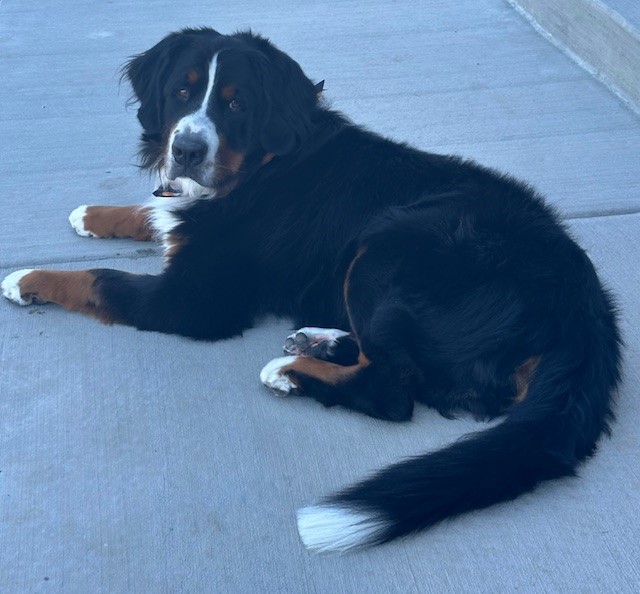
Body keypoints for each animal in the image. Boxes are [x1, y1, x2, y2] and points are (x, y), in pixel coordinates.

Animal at [2, 28, 622, 554]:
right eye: (181, 93)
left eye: (236, 105)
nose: (187, 150)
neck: (262, 167)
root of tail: (585, 300)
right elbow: (154, 214)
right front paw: (95, 214)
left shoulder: (196, 301)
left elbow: (97, 280)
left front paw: (26, 279)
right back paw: (319, 342)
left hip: (388, 246)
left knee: (393, 389)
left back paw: (293, 372)